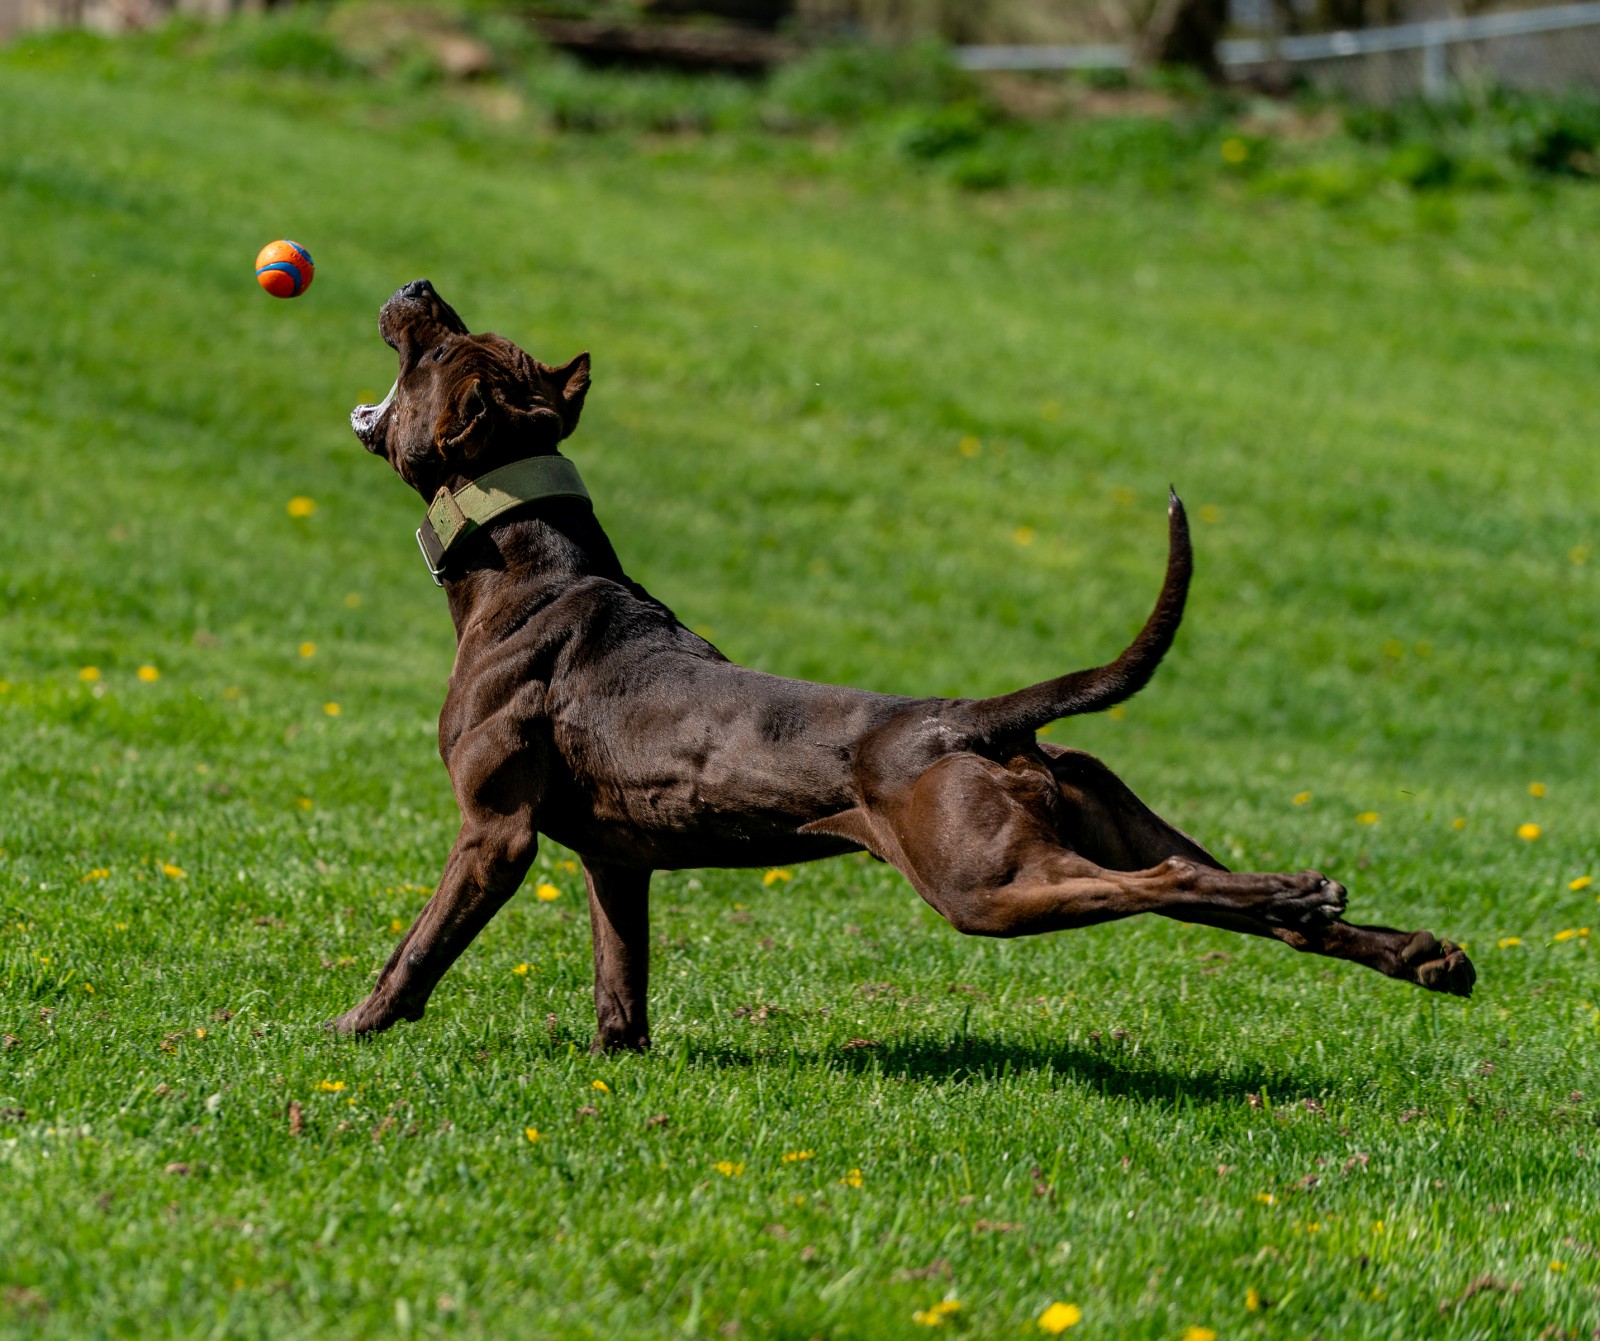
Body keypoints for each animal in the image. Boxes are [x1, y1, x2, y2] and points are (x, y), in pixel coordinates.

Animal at [328, 283, 1472, 1056]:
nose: (417, 285)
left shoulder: (496, 833)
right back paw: (1408, 948)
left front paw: (355, 1025)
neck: (530, 565)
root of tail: (975, 718)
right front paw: (620, 1056)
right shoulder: (618, 859)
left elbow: (418, 944)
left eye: (439, 346)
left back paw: (1318, 897)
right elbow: (623, 975)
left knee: (1165, 886)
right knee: (1244, 904)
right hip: (1096, 813)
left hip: (984, 881)